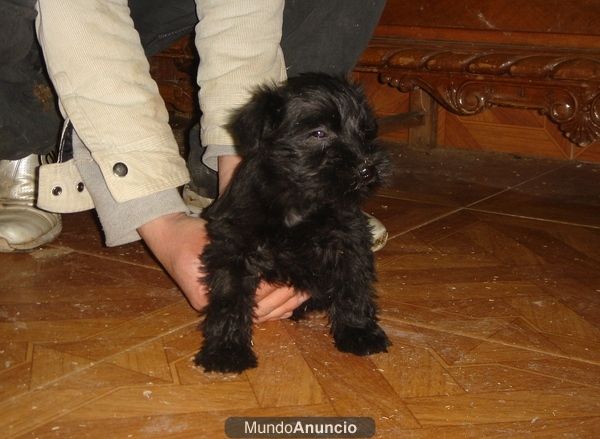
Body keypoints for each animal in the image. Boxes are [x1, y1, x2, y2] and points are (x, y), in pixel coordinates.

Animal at [196, 73, 394, 374]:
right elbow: (229, 298)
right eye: (319, 133)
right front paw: (226, 351)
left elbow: (353, 285)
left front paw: (359, 331)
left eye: (363, 131)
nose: (367, 169)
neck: (299, 200)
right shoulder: (234, 248)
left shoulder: (349, 240)